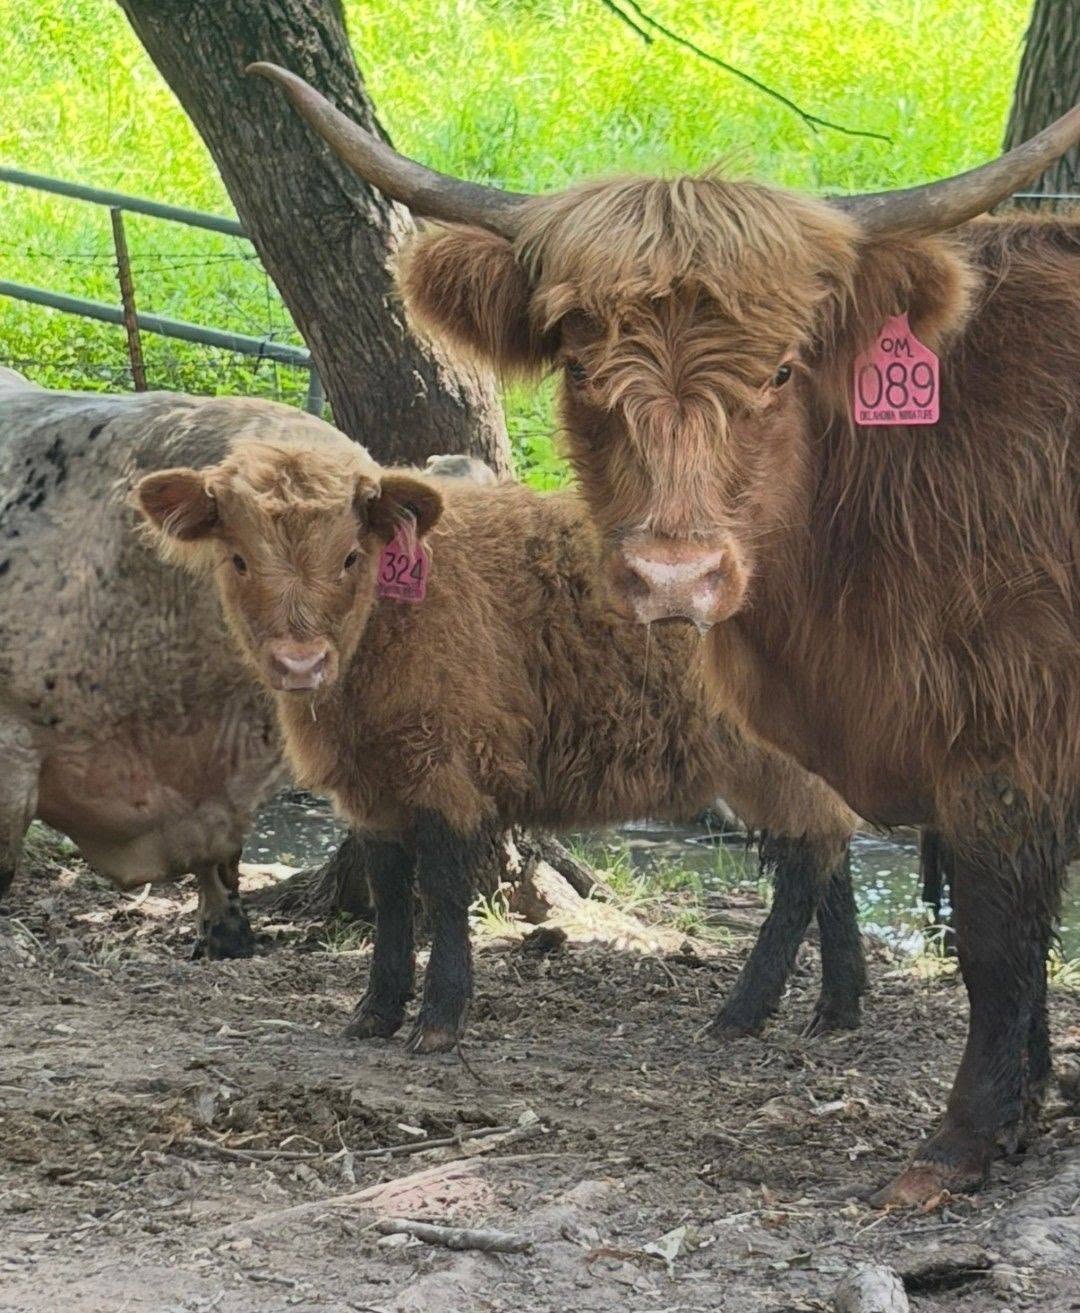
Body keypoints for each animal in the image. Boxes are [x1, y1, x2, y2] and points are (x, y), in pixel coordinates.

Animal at [135, 434, 859, 1052]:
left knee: (805, 862)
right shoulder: (371, 789)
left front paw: (438, 1020)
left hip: (771, 759)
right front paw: (375, 1012)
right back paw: (839, 1006)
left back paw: (743, 1012)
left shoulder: (446, 769)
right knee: (832, 854)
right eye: (238, 559)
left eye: (349, 556)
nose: (299, 661)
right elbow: (390, 890)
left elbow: (443, 887)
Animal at [249, 63, 1080, 1205]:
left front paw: (956, 1143)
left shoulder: (1004, 740)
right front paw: (1024, 1112)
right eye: (580, 366)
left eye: (782, 369)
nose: (674, 575)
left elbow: (999, 940)